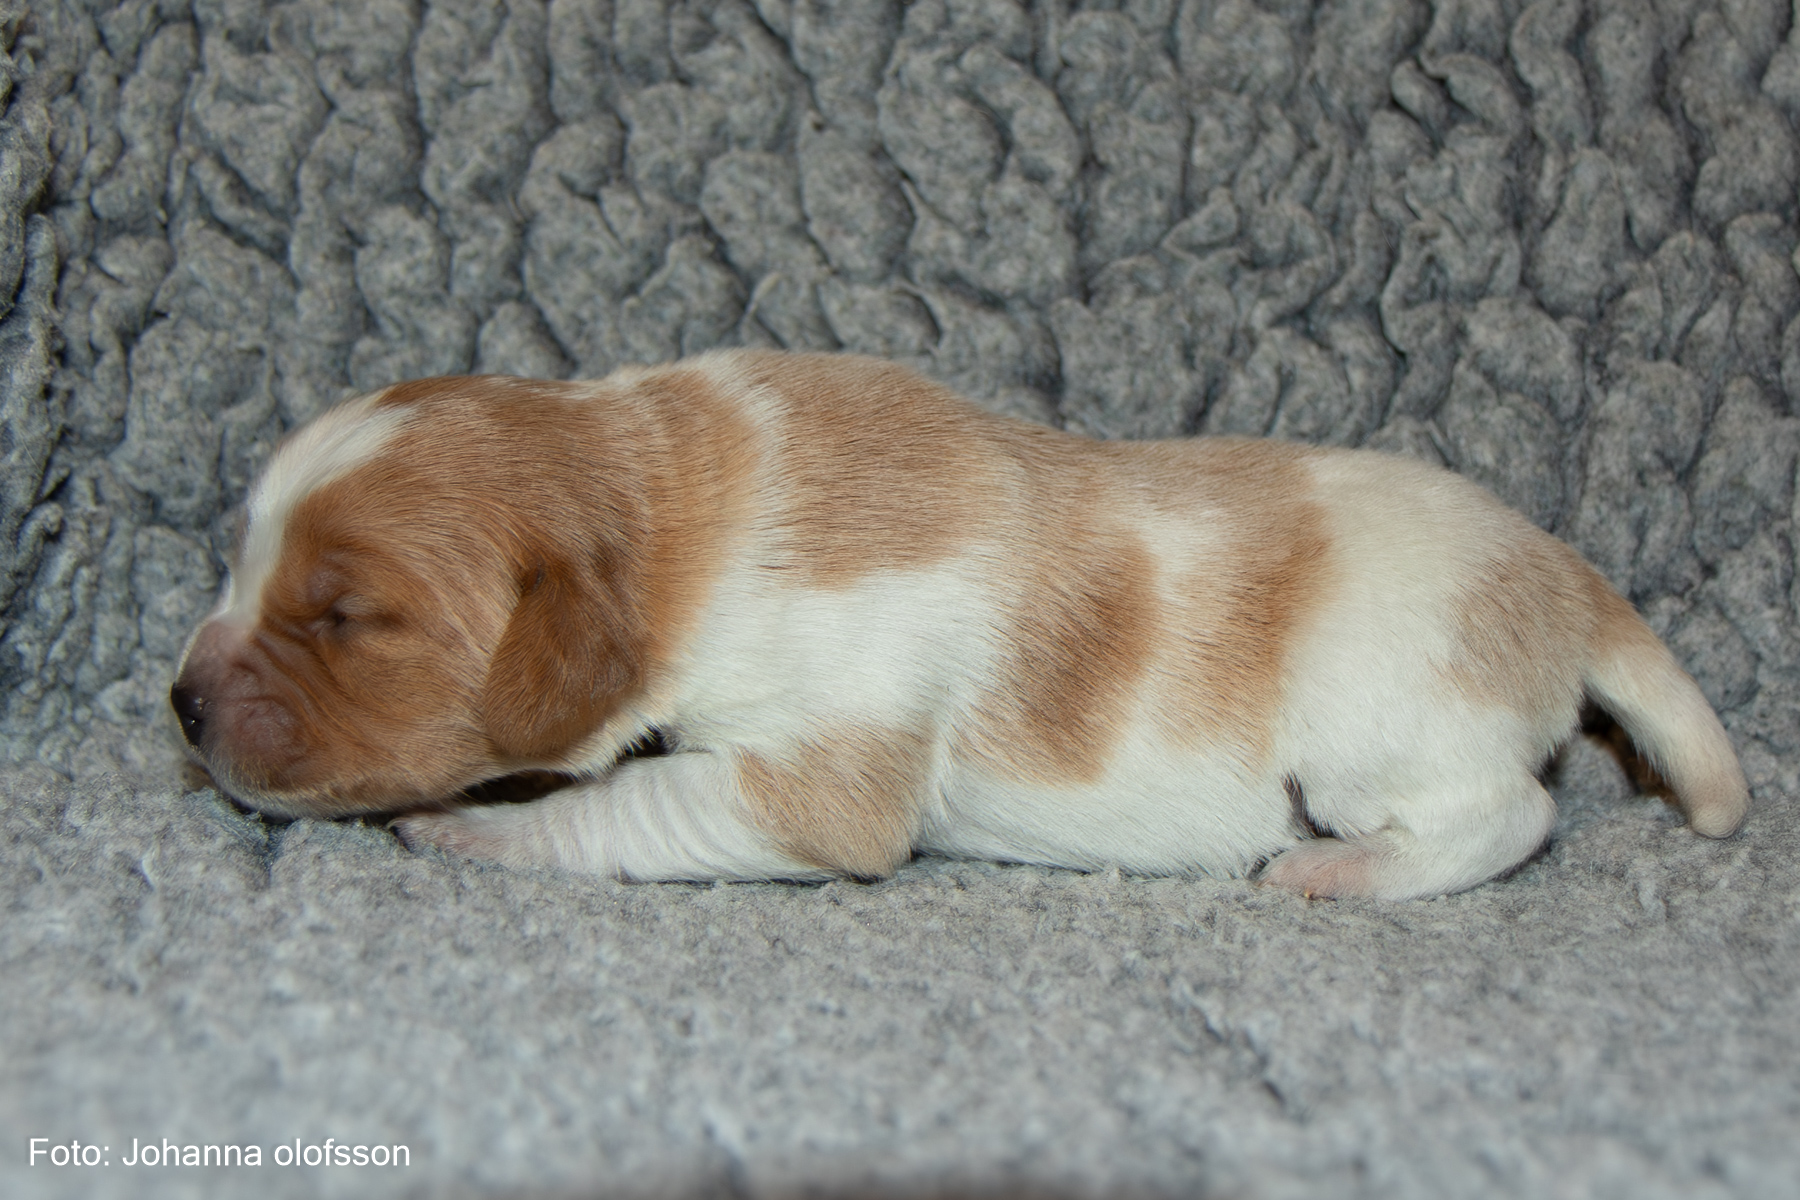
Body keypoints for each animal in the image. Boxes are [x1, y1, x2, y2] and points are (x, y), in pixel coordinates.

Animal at [170, 350, 1748, 898]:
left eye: (345, 616)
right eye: (239, 565)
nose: (177, 706)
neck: (680, 492)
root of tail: (1566, 574)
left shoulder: (809, 781)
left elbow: (621, 805)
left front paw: (477, 830)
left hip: (1385, 728)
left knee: (1512, 819)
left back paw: (1341, 873)